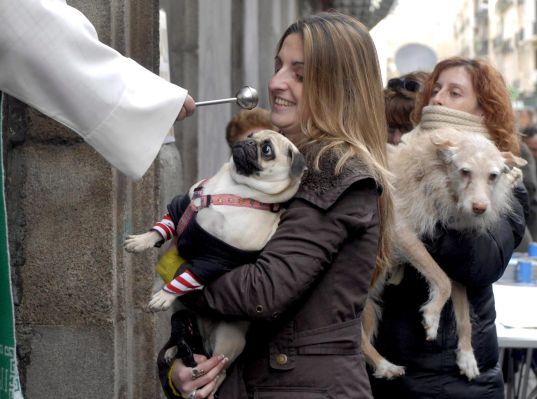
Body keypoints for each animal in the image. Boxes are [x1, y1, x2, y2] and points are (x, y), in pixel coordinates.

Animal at [123, 131, 304, 390]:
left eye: (267, 149)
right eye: (251, 135)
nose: (247, 142)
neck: (235, 188)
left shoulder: (217, 257)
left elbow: (184, 277)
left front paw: (164, 295)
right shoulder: (181, 209)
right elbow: (162, 228)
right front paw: (141, 241)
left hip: (227, 341)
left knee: (219, 371)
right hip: (186, 319)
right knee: (188, 341)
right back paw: (172, 352)